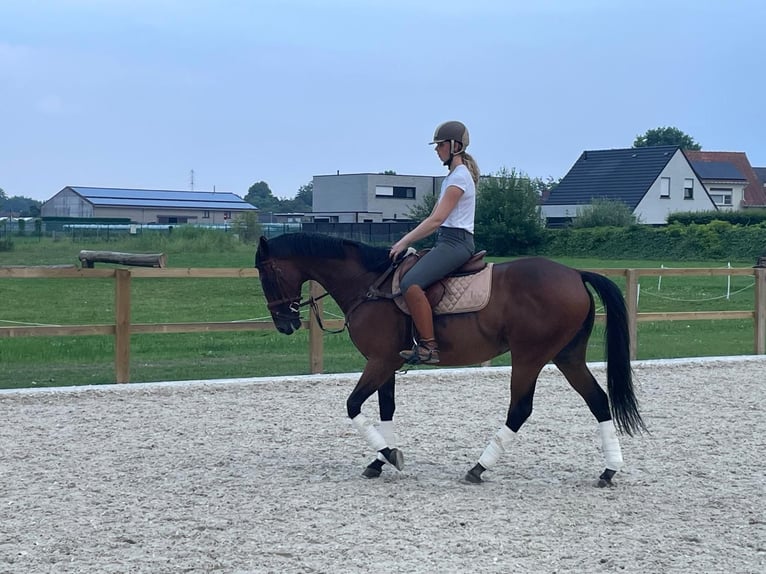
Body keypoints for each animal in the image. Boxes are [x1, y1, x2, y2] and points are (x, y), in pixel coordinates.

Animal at [258, 233, 648, 486]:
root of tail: (575, 274)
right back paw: (609, 470)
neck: (369, 284)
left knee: (520, 410)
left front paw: (388, 455)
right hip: (567, 357)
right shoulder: (387, 363)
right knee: (598, 400)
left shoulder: (379, 362)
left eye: (266, 273)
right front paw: (382, 460)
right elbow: (387, 410)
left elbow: (353, 405)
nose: (285, 324)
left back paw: (478, 468)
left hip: (529, 357)